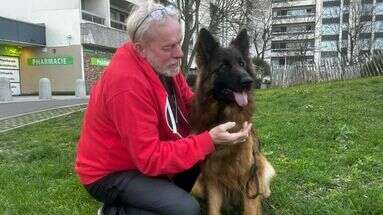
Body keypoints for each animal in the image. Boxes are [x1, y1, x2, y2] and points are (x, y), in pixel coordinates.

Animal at [190, 29, 274, 215]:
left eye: (242, 64)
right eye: (223, 66)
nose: (248, 81)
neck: (225, 115)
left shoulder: (250, 179)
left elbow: (251, 209)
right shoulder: (212, 177)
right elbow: (213, 209)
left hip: (262, 168)